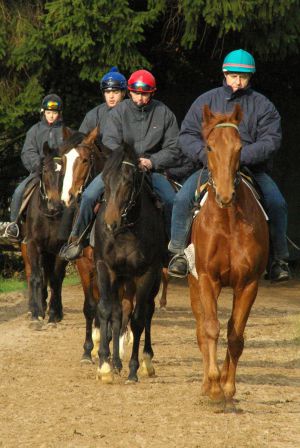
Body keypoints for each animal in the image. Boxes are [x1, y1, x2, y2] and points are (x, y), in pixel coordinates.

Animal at [93, 142, 166, 384]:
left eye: (128, 180)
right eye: (104, 178)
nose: (110, 223)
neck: (126, 231)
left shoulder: (146, 273)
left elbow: (138, 319)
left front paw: (133, 369)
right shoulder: (105, 268)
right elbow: (106, 310)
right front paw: (105, 365)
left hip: (151, 279)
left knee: (147, 312)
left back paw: (146, 362)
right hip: (122, 278)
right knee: (118, 313)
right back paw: (115, 362)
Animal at [189, 104, 268, 410]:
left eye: (239, 147)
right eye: (210, 147)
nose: (225, 194)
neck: (228, 221)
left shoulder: (248, 284)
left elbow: (235, 335)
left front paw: (227, 387)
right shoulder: (207, 279)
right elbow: (211, 329)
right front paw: (213, 388)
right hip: (193, 283)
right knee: (201, 330)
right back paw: (205, 384)